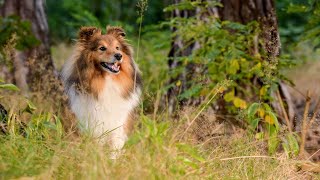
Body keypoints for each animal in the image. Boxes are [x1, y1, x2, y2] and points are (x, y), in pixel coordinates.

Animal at [62, 26, 142, 154]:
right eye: (102, 48)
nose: (119, 55)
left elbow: (114, 149)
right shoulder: (94, 124)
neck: (107, 80)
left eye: (117, 48)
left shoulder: (118, 126)